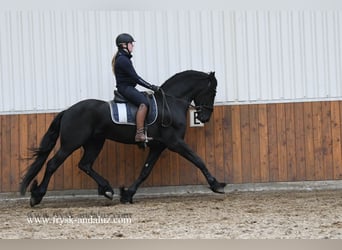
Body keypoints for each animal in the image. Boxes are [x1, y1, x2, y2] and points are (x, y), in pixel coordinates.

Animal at [20, 69, 226, 206]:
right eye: (213, 91)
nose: (205, 117)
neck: (171, 103)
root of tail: (68, 111)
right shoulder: (174, 142)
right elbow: (198, 160)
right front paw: (217, 184)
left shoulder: (158, 146)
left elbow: (145, 171)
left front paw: (127, 194)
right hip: (71, 143)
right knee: (52, 164)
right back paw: (37, 196)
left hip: (95, 143)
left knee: (85, 165)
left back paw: (107, 189)